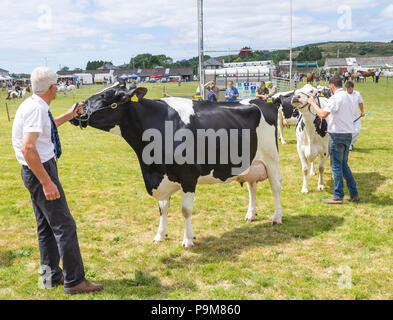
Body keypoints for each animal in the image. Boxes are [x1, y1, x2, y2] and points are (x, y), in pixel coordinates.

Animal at [70, 82, 282, 248]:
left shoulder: (188, 176)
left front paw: (188, 239)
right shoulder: (161, 176)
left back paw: (276, 217)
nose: (78, 109)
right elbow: (163, 208)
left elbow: (185, 210)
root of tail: (262, 101)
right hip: (251, 162)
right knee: (252, 186)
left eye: (105, 96)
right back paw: (250, 215)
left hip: (271, 157)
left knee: (275, 187)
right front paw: (160, 235)